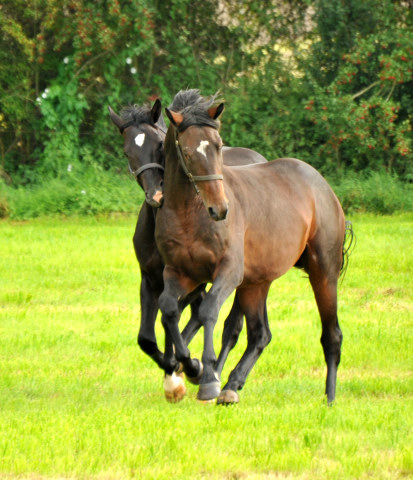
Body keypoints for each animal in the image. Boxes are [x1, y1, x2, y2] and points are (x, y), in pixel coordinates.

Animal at [108, 95, 266, 400]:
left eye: (159, 145)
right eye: (126, 152)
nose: (157, 195)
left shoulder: (194, 278)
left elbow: (179, 319)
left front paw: (186, 370)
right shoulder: (152, 277)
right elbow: (148, 336)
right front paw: (174, 373)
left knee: (231, 325)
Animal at [156, 90, 352, 404]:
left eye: (219, 146)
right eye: (186, 152)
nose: (220, 209)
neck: (189, 213)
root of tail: (322, 186)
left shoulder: (228, 272)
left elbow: (207, 310)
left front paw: (206, 377)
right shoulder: (180, 273)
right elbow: (169, 310)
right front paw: (187, 370)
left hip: (323, 273)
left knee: (331, 334)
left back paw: (329, 399)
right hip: (256, 284)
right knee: (260, 334)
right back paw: (231, 385)